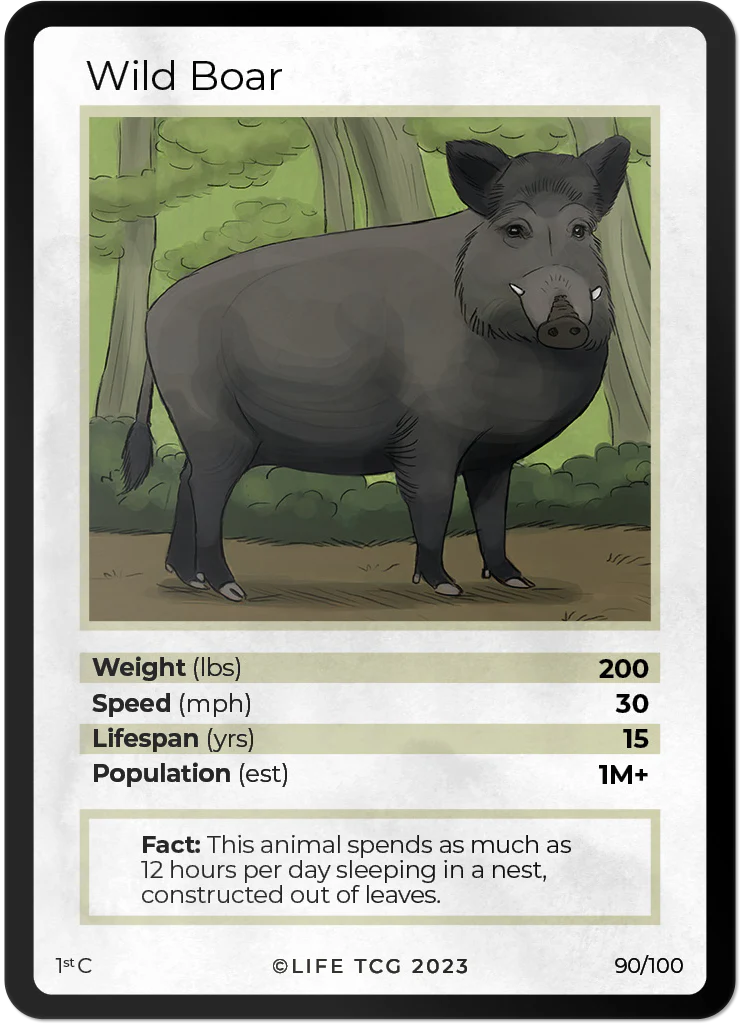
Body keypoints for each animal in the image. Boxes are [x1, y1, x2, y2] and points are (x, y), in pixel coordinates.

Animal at [121, 135, 630, 601]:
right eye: (516, 230)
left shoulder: (494, 453)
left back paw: (192, 579)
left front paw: (517, 581)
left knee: (187, 482)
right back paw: (229, 589)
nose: (565, 320)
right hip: (211, 423)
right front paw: (445, 587)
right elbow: (433, 502)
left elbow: (492, 514)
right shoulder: (429, 433)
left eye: (581, 230)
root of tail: (152, 313)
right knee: (207, 492)